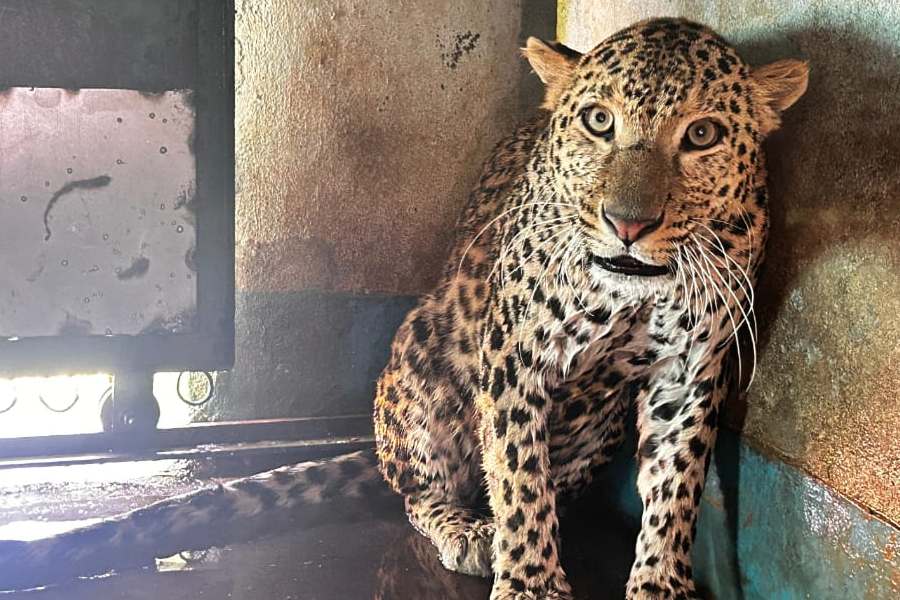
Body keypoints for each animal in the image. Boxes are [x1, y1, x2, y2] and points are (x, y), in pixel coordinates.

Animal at [0, 17, 807, 600]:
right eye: (599, 123)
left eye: (701, 135)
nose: (628, 224)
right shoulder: (515, 354)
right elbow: (518, 476)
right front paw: (530, 582)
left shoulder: (689, 373)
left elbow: (675, 489)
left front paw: (661, 584)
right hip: (421, 355)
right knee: (419, 490)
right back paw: (467, 528)